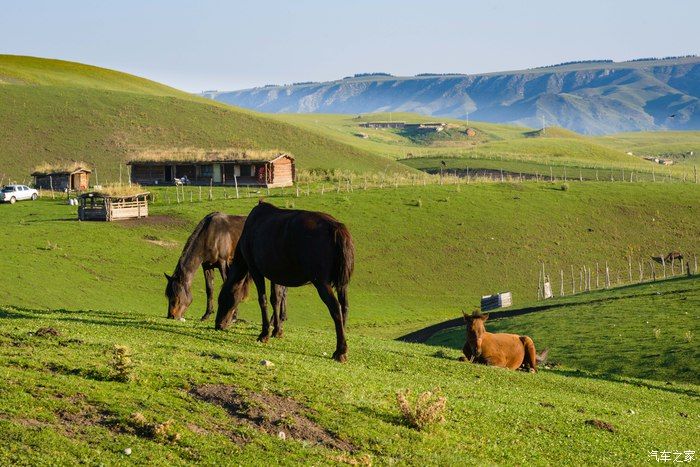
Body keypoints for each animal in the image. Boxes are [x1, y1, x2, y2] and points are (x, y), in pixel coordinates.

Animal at [215, 201, 356, 362]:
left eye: (223, 299)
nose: (218, 324)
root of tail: (337, 227)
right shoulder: (275, 273)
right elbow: (275, 299)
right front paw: (277, 330)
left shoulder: (255, 269)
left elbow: (263, 300)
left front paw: (264, 334)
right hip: (342, 284)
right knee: (344, 307)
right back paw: (342, 344)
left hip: (322, 282)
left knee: (335, 308)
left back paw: (340, 351)